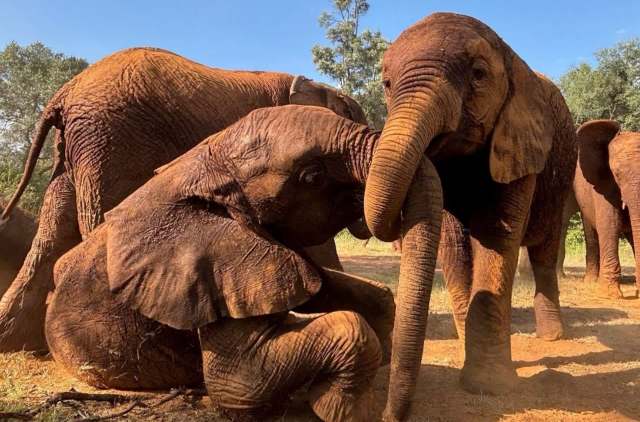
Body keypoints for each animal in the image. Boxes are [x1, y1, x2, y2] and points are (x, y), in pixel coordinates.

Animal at [46, 105, 440, 421]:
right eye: (313, 175)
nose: (392, 415)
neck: (206, 163)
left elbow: (332, 287)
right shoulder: (207, 266)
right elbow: (239, 385)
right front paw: (341, 408)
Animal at [359, 13, 576, 417]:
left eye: (478, 74)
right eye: (386, 84)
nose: (385, 415)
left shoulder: (519, 142)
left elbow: (494, 235)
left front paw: (489, 386)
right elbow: (453, 243)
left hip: (561, 173)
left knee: (544, 245)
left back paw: (553, 336)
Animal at [574, 119, 640, 298]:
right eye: (616, 173)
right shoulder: (603, 184)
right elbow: (610, 224)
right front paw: (609, 294)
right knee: (591, 235)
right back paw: (590, 283)